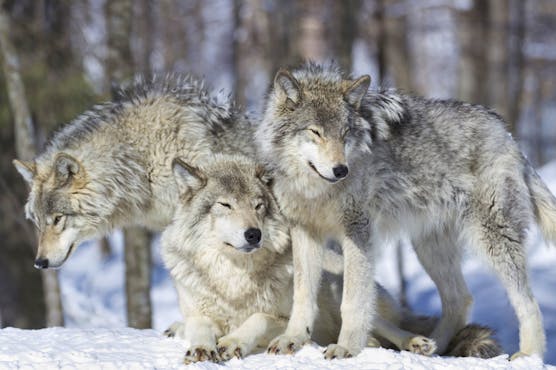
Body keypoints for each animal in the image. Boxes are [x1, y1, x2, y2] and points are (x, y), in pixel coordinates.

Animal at [160, 154, 500, 364]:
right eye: (225, 205)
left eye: (258, 206)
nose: (254, 234)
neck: (235, 279)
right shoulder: (198, 312)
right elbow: (199, 328)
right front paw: (202, 347)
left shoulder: (284, 317)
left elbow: (257, 317)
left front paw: (231, 342)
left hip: (340, 292)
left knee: (384, 328)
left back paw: (415, 342)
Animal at [258, 62, 556, 360]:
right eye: (315, 132)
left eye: (344, 135)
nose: (341, 170)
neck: (316, 190)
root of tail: (507, 133)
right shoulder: (305, 231)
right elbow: (303, 295)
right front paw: (293, 339)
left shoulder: (358, 231)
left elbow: (353, 301)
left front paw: (346, 348)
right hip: (429, 248)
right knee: (461, 299)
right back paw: (430, 347)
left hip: (492, 240)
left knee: (528, 301)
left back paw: (529, 354)